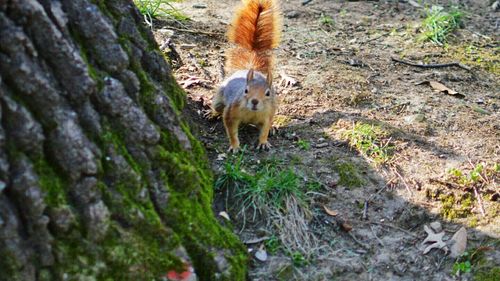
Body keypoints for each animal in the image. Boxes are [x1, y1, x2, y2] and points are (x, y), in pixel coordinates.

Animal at [211, 0, 282, 152]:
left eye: (268, 93)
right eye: (245, 90)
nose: (254, 101)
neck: (252, 113)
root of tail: (247, 69)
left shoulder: (268, 114)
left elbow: (265, 129)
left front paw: (263, 142)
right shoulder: (231, 113)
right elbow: (231, 131)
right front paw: (235, 146)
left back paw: (273, 128)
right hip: (219, 99)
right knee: (218, 107)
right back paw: (212, 113)